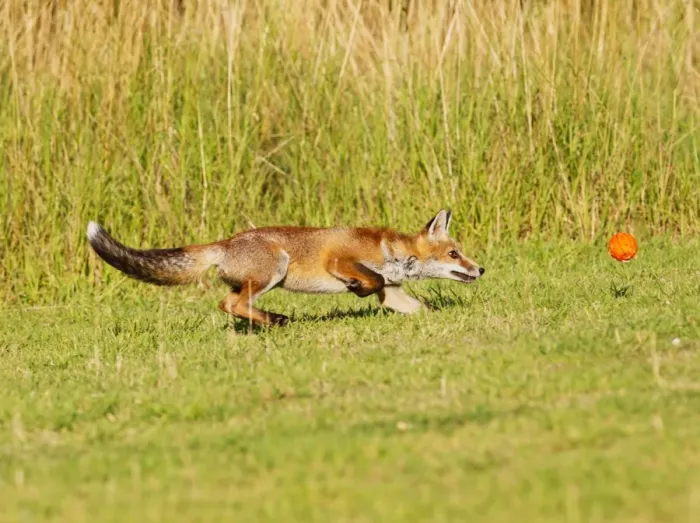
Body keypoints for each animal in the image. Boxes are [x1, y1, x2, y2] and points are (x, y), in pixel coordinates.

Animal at [86, 209, 484, 326]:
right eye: (454, 254)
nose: (480, 270)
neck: (391, 252)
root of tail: (226, 242)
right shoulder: (340, 259)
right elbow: (368, 279)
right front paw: (356, 289)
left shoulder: (394, 294)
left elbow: (422, 308)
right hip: (274, 270)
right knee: (232, 304)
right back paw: (277, 320)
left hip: (255, 281)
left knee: (229, 303)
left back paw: (269, 320)